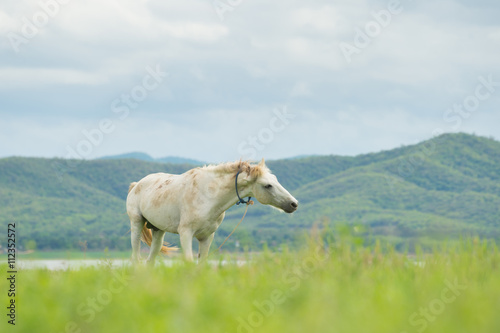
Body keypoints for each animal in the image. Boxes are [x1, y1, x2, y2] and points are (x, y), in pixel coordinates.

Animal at [127, 158, 298, 262]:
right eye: (267, 185)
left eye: (275, 180)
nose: (293, 204)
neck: (207, 196)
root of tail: (136, 185)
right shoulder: (185, 233)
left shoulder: (206, 237)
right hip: (136, 224)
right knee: (136, 258)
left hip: (158, 231)